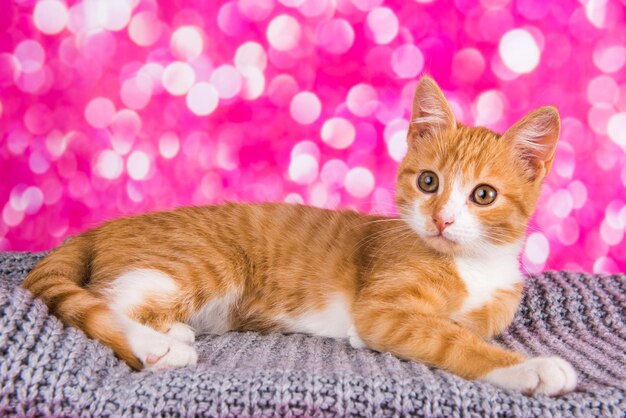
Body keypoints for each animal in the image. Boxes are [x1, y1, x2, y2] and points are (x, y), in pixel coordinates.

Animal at [23, 77, 576, 396]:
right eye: (428, 183)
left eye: (483, 195)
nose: (441, 220)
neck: (471, 262)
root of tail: (102, 225)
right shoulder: (383, 312)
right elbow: (455, 340)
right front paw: (533, 369)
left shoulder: (496, 302)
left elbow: (472, 324)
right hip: (207, 262)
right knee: (101, 300)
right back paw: (158, 347)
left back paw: (173, 331)